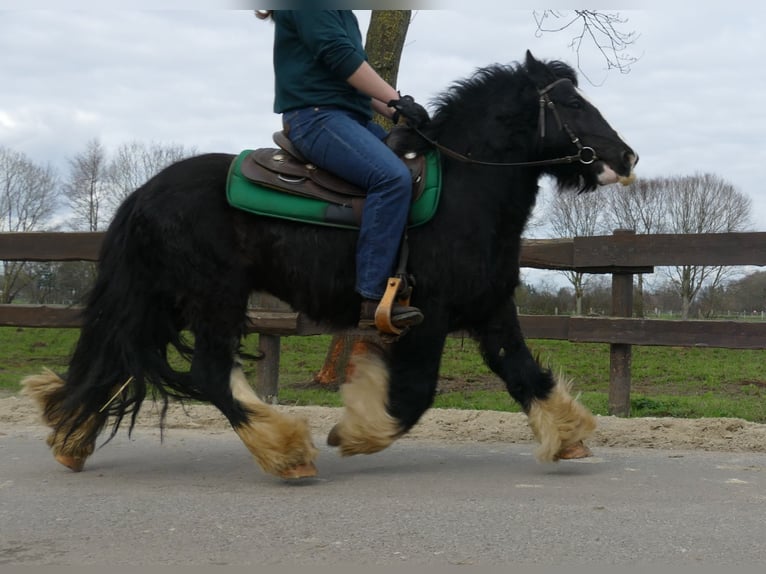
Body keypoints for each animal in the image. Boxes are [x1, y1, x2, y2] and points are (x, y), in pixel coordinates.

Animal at [22, 51, 636, 480]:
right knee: (208, 373)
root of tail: (145, 193)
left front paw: (568, 436)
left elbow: (524, 374)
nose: (625, 156)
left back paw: (70, 440)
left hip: (166, 301)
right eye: (572, 103)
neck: (465, 191)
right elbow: (414, 395)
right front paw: (358, 428)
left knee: (118, 361)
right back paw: (286, 451)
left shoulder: (491, 310)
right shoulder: (429, 318)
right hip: (214, 298)